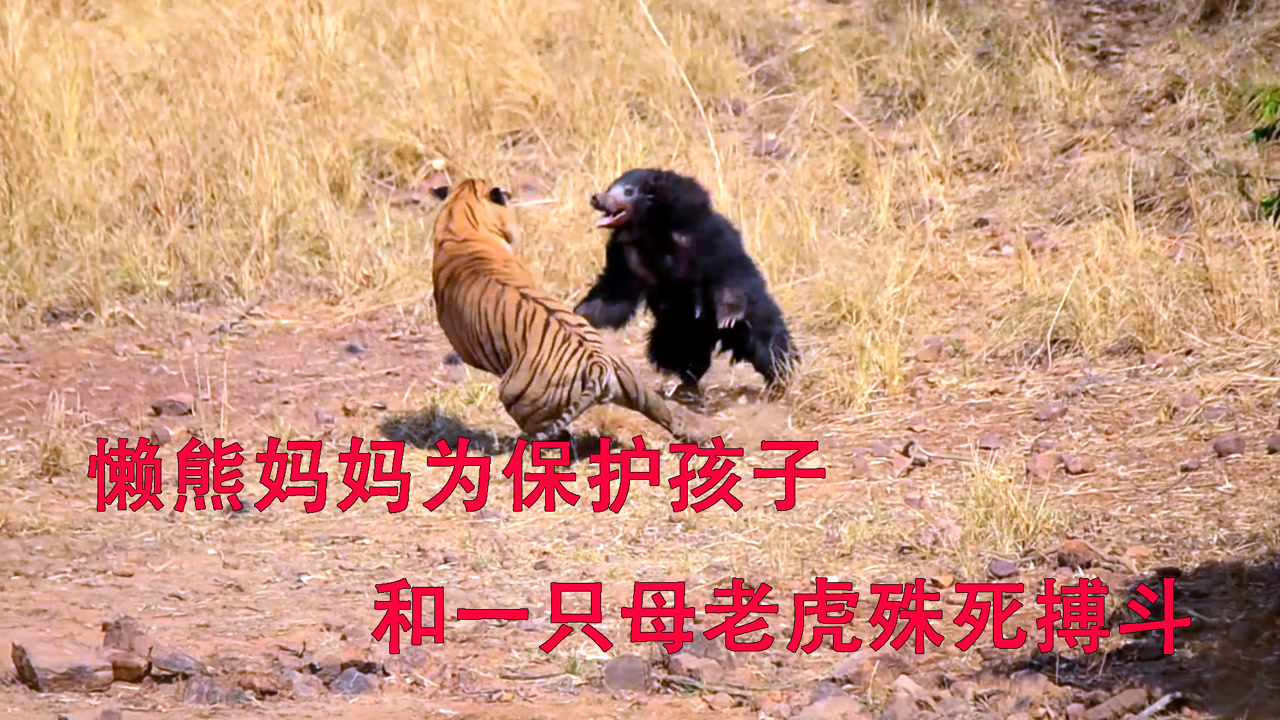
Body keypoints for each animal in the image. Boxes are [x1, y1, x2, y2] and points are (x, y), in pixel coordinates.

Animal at [572, 167, 798, 405]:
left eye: (628, 191)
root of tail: (713, 334)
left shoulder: (707, 237)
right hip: (679, 329)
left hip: (748, 318)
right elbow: (615, 291)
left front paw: (728, 315)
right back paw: (688, 385)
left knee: (767, 341)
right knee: (679, 352)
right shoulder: (625, 254)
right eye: (610, 188)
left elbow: (728, 273)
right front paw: (580, 313)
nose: (596, 198)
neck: (651, 229)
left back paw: (777, 383)